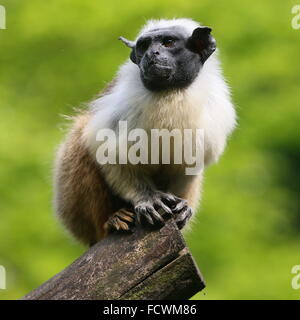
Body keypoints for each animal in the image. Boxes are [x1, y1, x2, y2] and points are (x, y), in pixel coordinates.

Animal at [54, 18, 237, 246]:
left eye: (168, 43)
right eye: (144, 46)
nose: (152, 54)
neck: (170, 94)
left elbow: (187, 165)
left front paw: (182, 208)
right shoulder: (119, 113)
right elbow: (112, 155)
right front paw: (148, 199)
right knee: (81, 137)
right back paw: (111, 221)